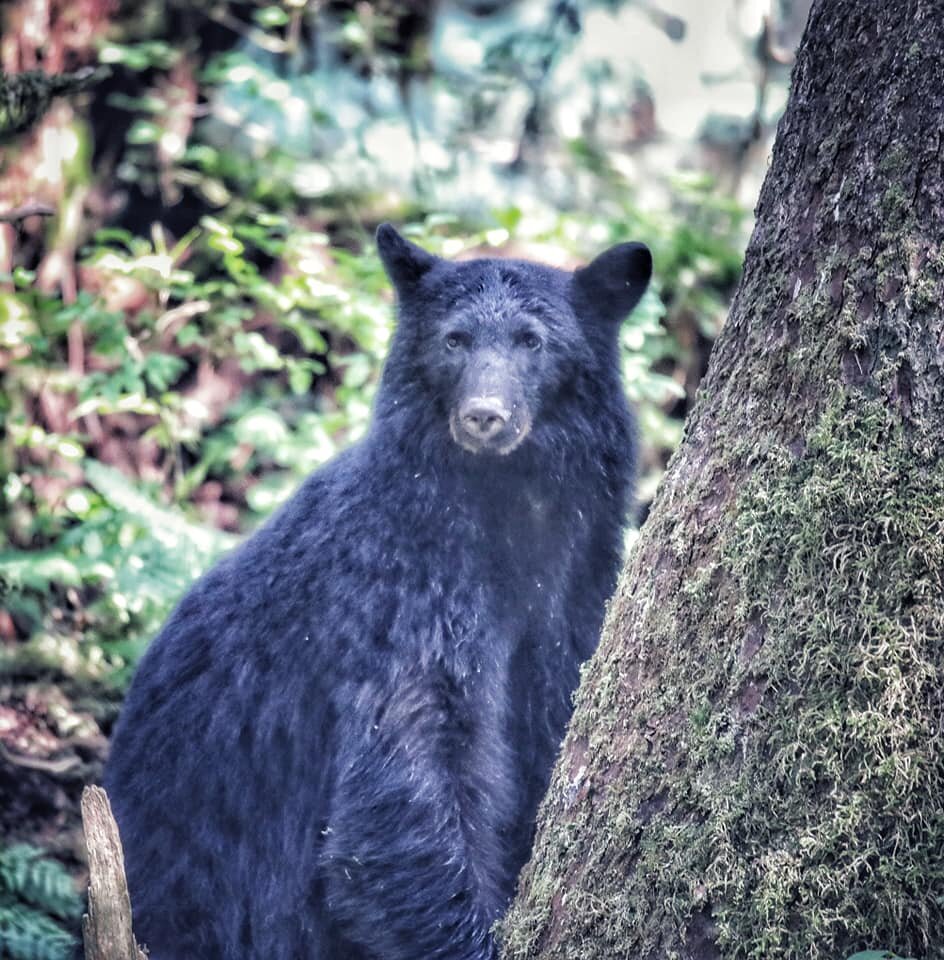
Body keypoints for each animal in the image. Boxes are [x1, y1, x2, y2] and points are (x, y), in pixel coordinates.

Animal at [103, 227, 648, 960]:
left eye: (533, 340)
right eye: (454, 339)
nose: (484, 416)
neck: (508, 512)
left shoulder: (574, 591)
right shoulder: (403, 591)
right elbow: (400, 789)